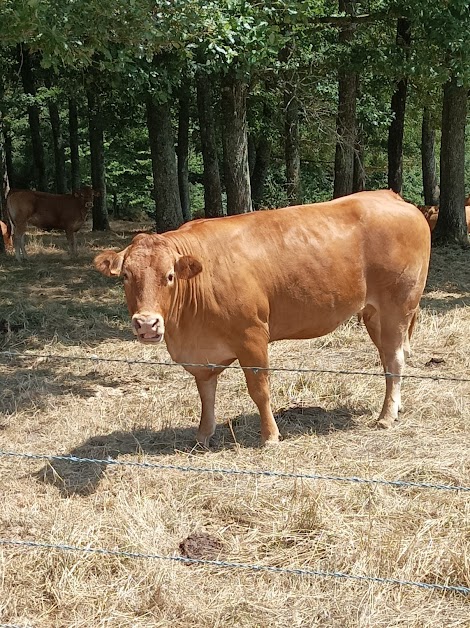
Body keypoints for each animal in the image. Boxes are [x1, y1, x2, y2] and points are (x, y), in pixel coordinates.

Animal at [93, 191, 432, 446]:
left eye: (170, 275)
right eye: (125, 276)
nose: (146, 324)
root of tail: (391, 197)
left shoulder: (252, 335)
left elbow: (259, 389)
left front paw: (269, 436)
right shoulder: (203, 354)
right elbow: (205, 392)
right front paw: (203, 435)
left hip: (398, 306)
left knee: (395, 360)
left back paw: (385, 417)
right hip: (374, 314)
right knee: (389, 359)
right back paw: (395, 406)